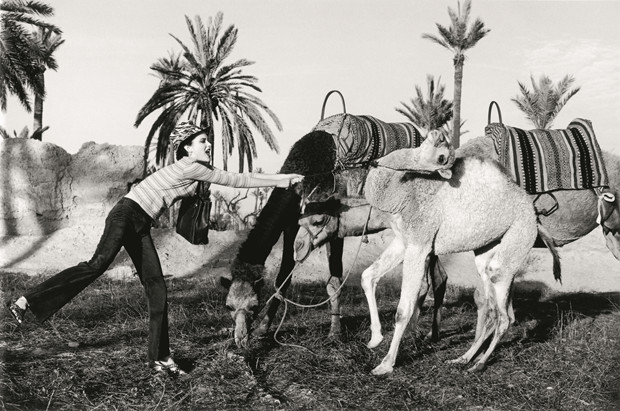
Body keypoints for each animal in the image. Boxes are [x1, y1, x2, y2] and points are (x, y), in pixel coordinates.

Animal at [360, 149, 560, 376]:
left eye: (442, 157)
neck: (403, 193)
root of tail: (536, 219)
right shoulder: (404, 241)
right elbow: (367, 276)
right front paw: (375, 339)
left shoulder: (420, 244)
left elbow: (403, 310)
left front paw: (385, 364)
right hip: (487, 251)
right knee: (492, 309)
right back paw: (463, 358)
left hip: (518, 238)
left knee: (505, 316)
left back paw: (479, 364)